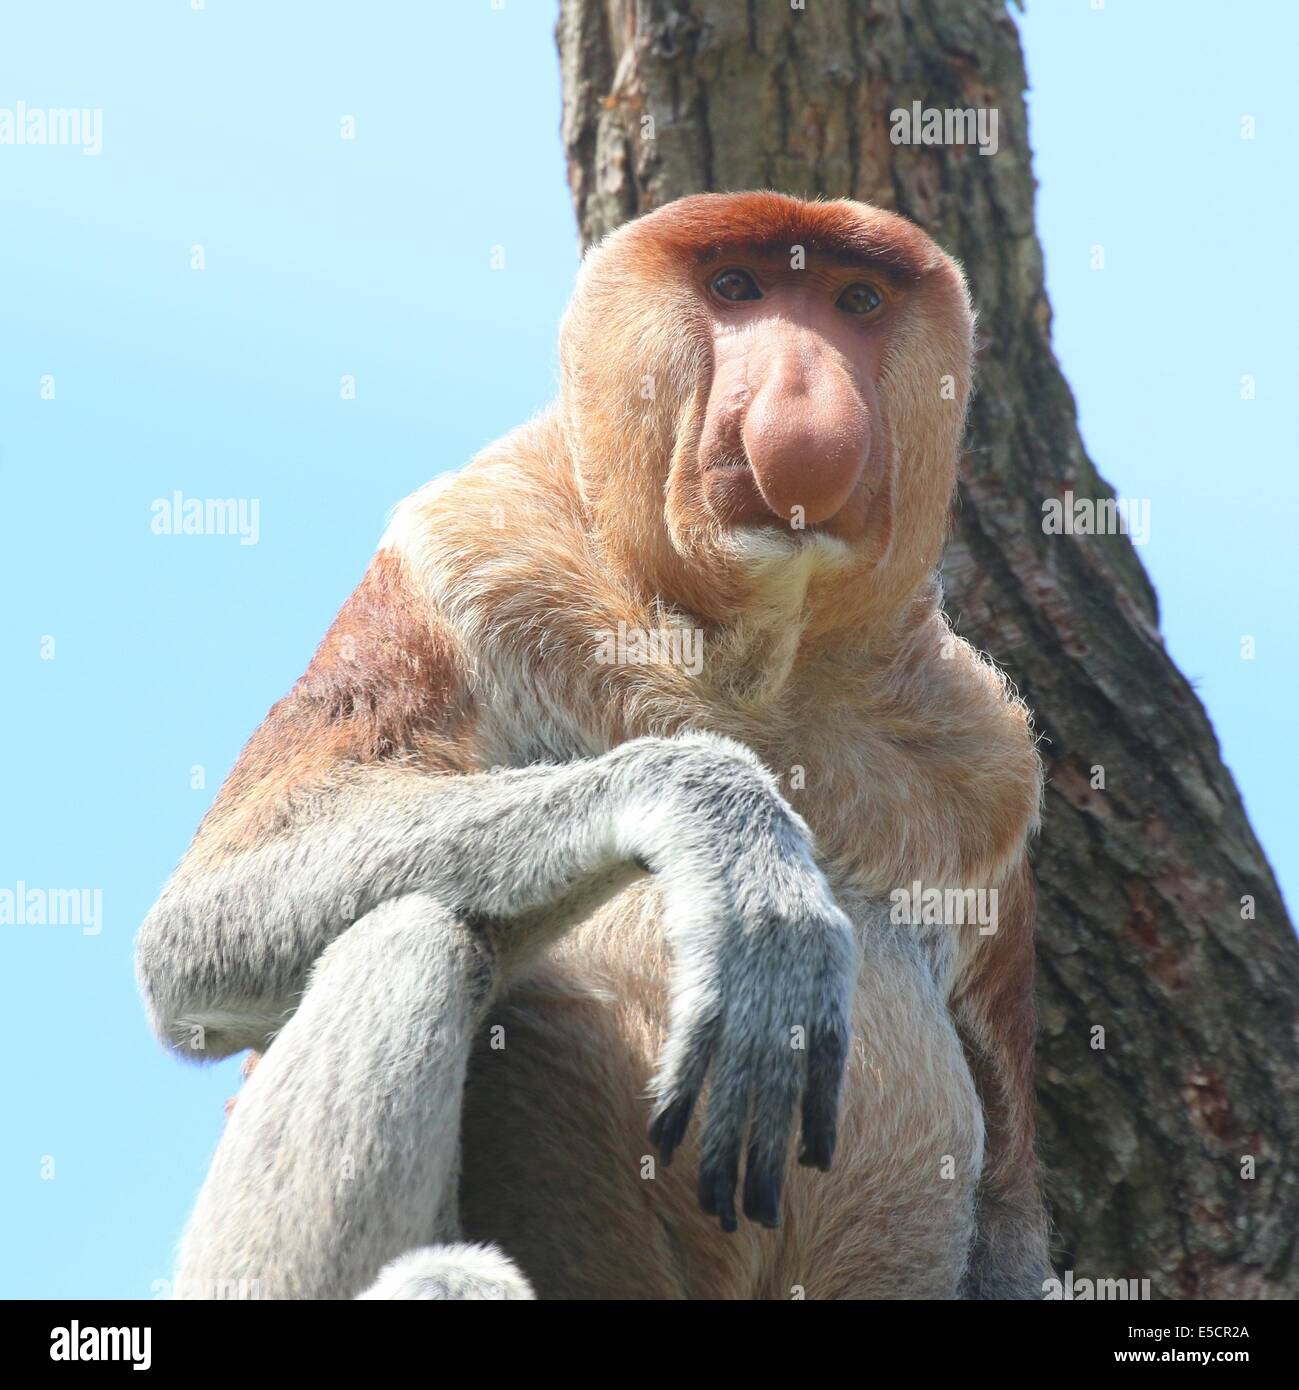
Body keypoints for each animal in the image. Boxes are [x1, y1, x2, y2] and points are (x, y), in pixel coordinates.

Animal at [134, 190, 1044, 1295]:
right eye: (736, 286)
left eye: (856, 301)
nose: (803, 398)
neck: (761, 655)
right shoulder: (464, 547)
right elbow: (201, 920)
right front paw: (734, 844)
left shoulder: (990, 763)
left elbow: (1011, 1197)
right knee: (413, 935)